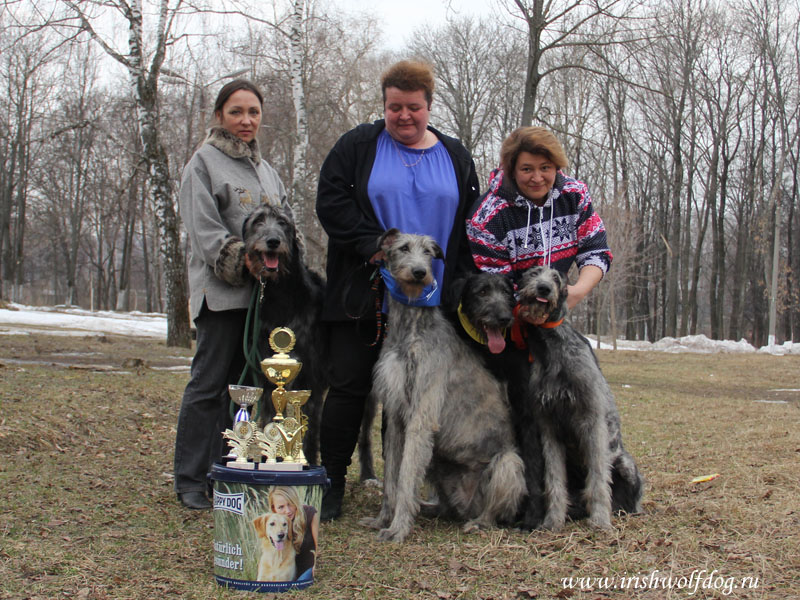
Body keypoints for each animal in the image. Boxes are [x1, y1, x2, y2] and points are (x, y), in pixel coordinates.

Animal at [360, 230, 524, 544]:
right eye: (403, 248)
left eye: (427, 252)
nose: (419, 273)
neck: (411, 328)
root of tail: (468, 504)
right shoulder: (396, 415)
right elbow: (392, 477)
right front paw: (383, 519)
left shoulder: (421, 416)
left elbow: (405, 477)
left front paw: (397, 528)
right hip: (437, 463)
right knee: (446, 505)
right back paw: (431, 508)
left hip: (507, 463)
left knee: (493, 509)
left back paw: (478, 522)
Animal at [520, 268, 644, 528]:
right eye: (533, 273)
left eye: (557, 278)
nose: (544, 288)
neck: (552, 346)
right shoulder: (549, 428)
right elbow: (554, 480)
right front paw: (552, 521)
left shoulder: (592, 422)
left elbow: (598, 479)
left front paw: (600, 522)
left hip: (625, 465)